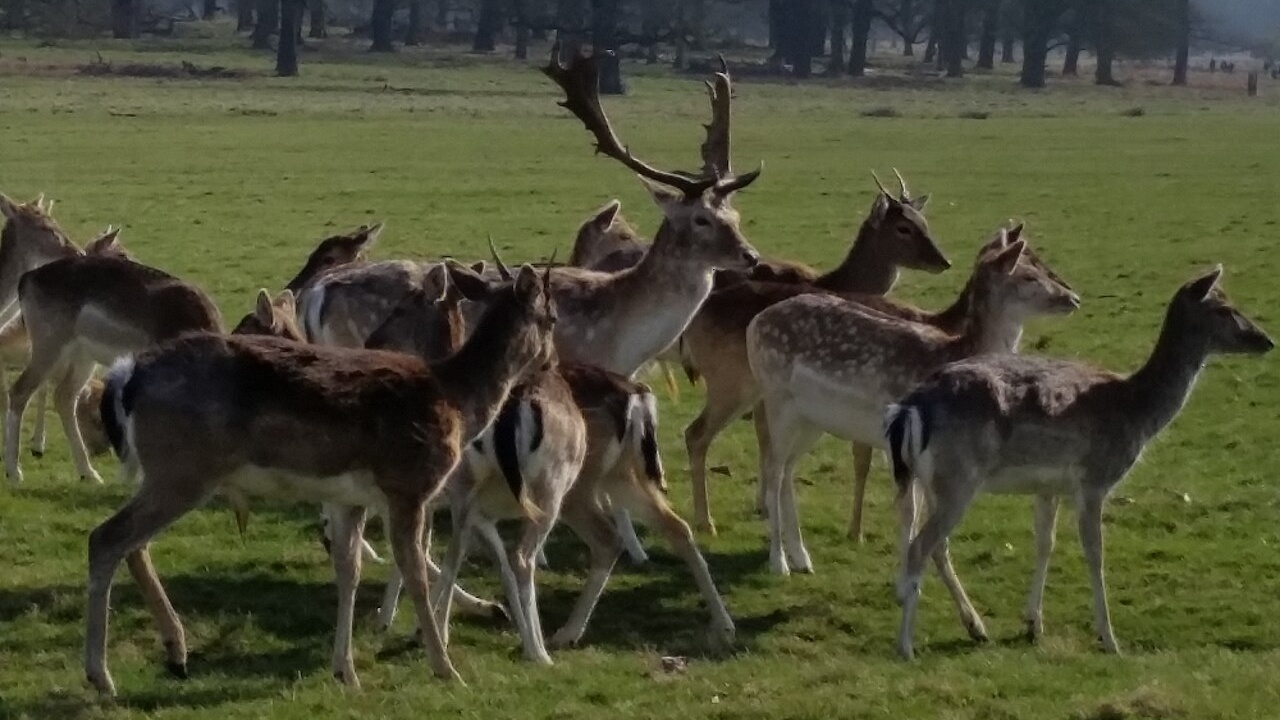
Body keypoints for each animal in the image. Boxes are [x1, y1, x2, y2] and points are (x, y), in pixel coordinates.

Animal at [86, 262, 557, 697]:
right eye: (551, 318)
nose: (552, 360)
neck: (457, 402)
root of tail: (125, 376)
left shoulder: (352, 497)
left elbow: (349, 570)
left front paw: (345, 670)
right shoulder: (409, 484)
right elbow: (416, 572)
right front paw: (446, 668)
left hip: (166, 473)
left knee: (132, 543)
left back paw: (172, 653)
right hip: (183, 469)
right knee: (107, 538)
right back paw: (102, 676)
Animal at [682, 171, 950, 536]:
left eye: (924, 221)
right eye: (903, 227)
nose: (943, 261)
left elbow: (766, 438)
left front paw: (764, 505)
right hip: (728, 381)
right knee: (692, 432)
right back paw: (701, 520)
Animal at [746, 231, 1080, 577]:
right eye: (1028, 274)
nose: (1073, 298)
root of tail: (754, 324)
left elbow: (916, 516)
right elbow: (910, 513)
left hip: (812, 418)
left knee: (787, 469)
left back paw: (802, 557)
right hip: (776, 397)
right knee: (773, 468)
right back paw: (779, 562)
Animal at [885, 266, 1272, 660]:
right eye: (1224, 308)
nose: (1266, 340)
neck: (1135, 409)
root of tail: (910, 407)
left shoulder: (1048, 486)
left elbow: (1045, 542)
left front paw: (1033, 623)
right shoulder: (1095, 479)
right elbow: (1095, 553)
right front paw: (1110, 639)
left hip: (931, 479)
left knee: (936, 545)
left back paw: (973, 627)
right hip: (959, 477)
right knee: (920, 546)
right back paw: (906, 645)